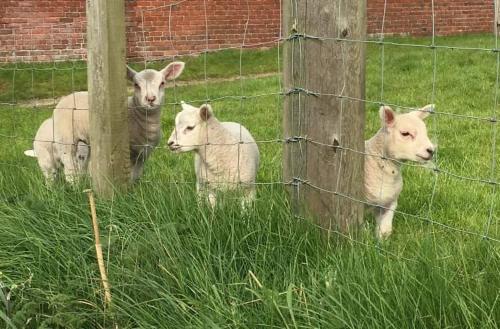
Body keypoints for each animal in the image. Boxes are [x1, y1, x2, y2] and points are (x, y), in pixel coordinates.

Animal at [25, 61, 186, 182]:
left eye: (162, 83)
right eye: (136, 85)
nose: (151, 99)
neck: (137, 116)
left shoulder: (143, 153)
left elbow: (136, 176)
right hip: (64, 142)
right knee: (66, 172)